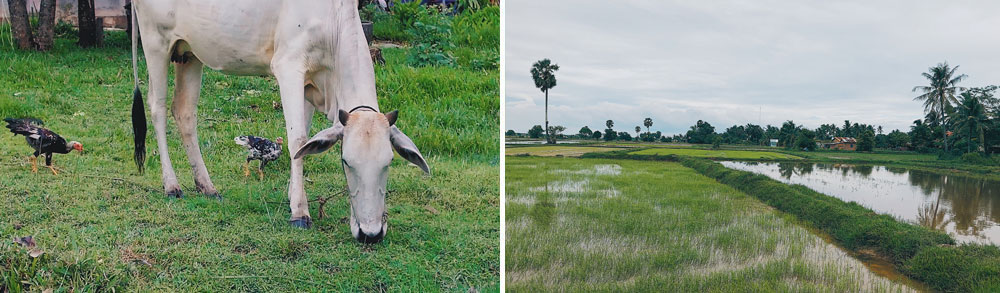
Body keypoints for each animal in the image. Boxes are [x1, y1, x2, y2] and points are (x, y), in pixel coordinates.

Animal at [131, 0, 428, 242]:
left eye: (388, 162)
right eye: (346, 162)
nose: (371, 234)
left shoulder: (309, 82)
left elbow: (304, 140)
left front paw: (292, 195)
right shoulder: (289, 68)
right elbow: (297, 139)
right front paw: (299, 212)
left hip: (189, 53)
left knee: (184, 112)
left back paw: (207, 187)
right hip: (156, 42)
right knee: (157, 108)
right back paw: (172, 185)